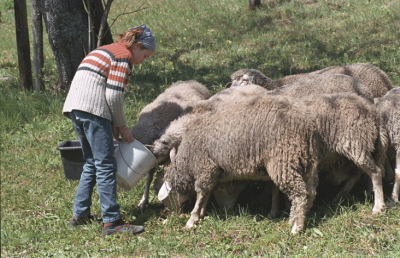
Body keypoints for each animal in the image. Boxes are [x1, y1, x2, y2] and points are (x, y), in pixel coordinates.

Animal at [159, 92, 388, 234]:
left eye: (165, 198)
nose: (168, 215)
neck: (186, 159)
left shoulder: (205, 168)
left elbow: (201, 194)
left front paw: (192, 219)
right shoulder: (214, 171)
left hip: (343, 147)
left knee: (373, 173)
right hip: (304, 160)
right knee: (311, 190)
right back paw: (300, 216)